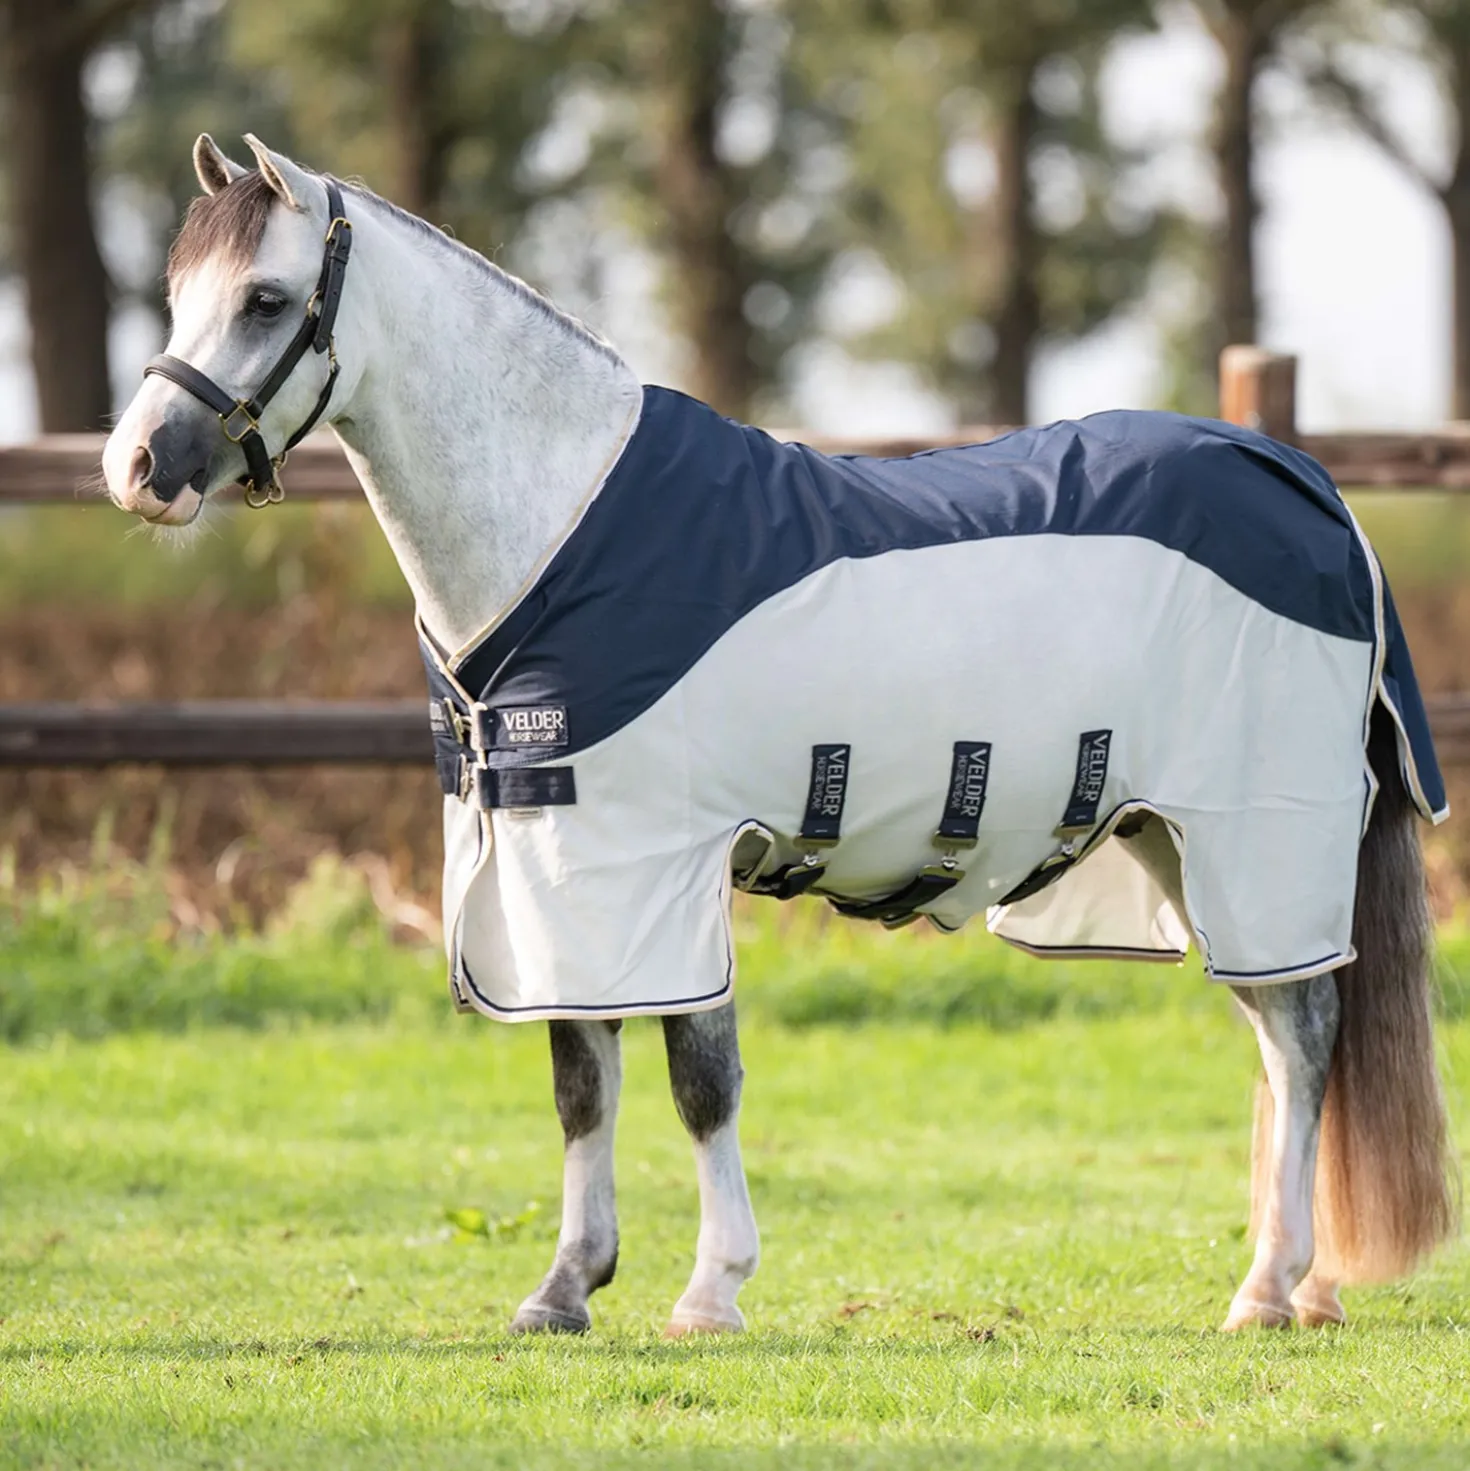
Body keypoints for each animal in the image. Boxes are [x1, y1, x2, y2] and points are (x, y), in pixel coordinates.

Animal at [103, 133, 1457, 1336]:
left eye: (267, 297)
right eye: (175, 293)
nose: (137, 469)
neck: (568, 530)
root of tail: (1303, 483)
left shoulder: (668, 857)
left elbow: (700, 1079)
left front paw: (709, 1292)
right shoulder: (564, 862)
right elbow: (580, 1083)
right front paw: (564, 1289)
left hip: (1256, 837)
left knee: (1307, 1040)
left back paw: (1266, 1291)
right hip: (1175, 839)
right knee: (1282, 1044)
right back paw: (1302, 1287)